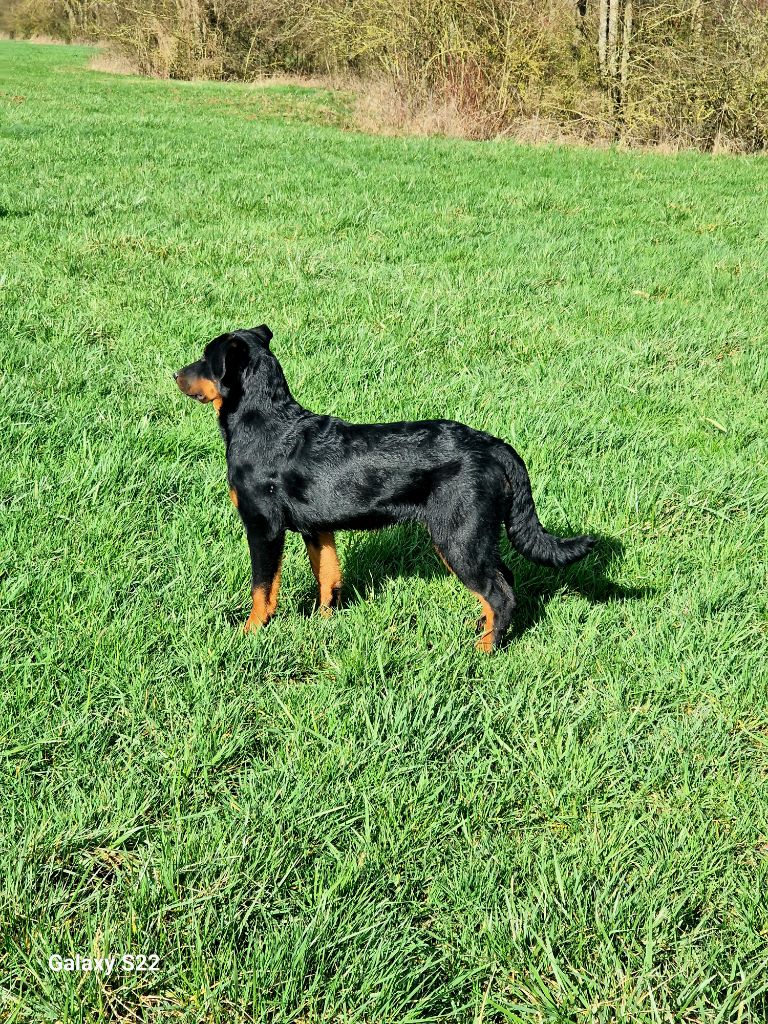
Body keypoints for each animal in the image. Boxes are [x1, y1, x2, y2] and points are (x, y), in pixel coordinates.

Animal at [177, 323, 598, 651]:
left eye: (206, 359)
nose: (175, 375)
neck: (265, 423)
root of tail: (494, 445)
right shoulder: (318, 529)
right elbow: (328, 577)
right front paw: (324, 624)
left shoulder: (263, 527)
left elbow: (262, 589)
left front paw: (250, 633)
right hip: (474, 536)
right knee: (503, 580)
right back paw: (484, 629)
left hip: (457, 536)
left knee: (500, 593)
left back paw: (485, 649)